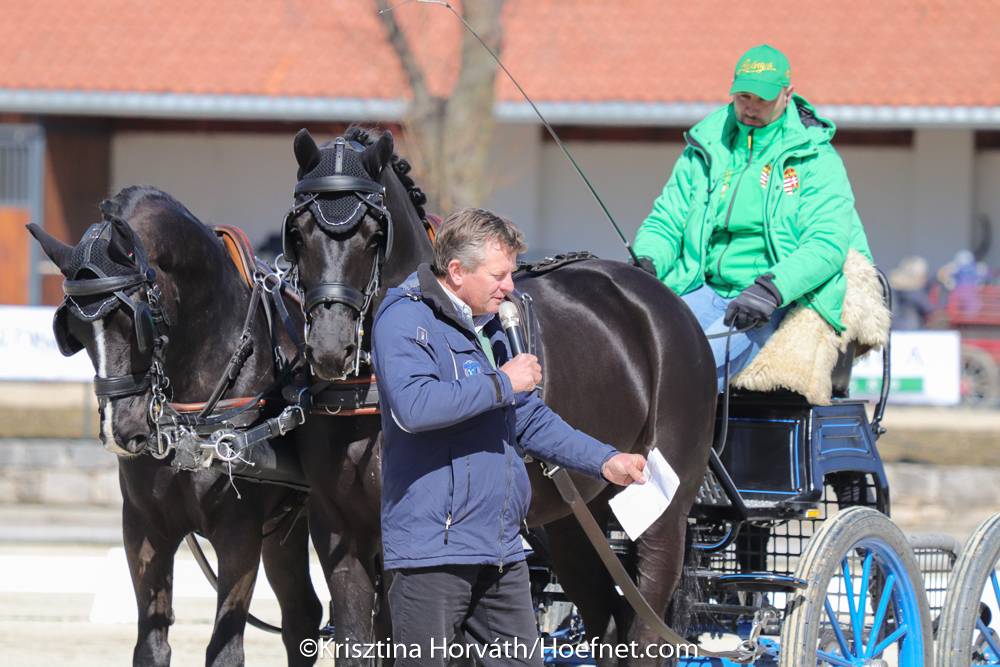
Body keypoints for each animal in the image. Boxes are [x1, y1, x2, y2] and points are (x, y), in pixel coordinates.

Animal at [28, 188, 323, 667]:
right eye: (73, 332)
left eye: (135, 321)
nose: (121, 431)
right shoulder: (145, 526)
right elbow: (151, 643)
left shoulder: (239, 532)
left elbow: (225, 649)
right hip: (286, 527)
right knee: (303, 617)